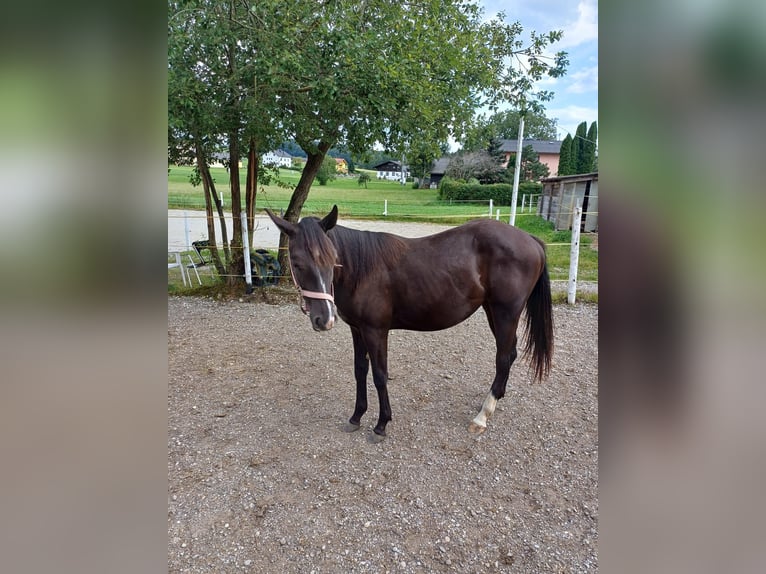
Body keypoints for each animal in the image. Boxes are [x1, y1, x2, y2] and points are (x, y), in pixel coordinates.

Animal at [268, 207, 556, 446]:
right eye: (297, 262)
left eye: (332, 259)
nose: (324, 319)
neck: (361, 270)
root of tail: (531, 240)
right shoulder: (357, 330)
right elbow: (360, 371)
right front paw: (356, 416)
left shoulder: (375, 331)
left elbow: (379, 375)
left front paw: (381, 425)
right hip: (493, 312)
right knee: (510, 353)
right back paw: (494, 400)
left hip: (506, 312)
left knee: (503, 357)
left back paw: (482, 416)